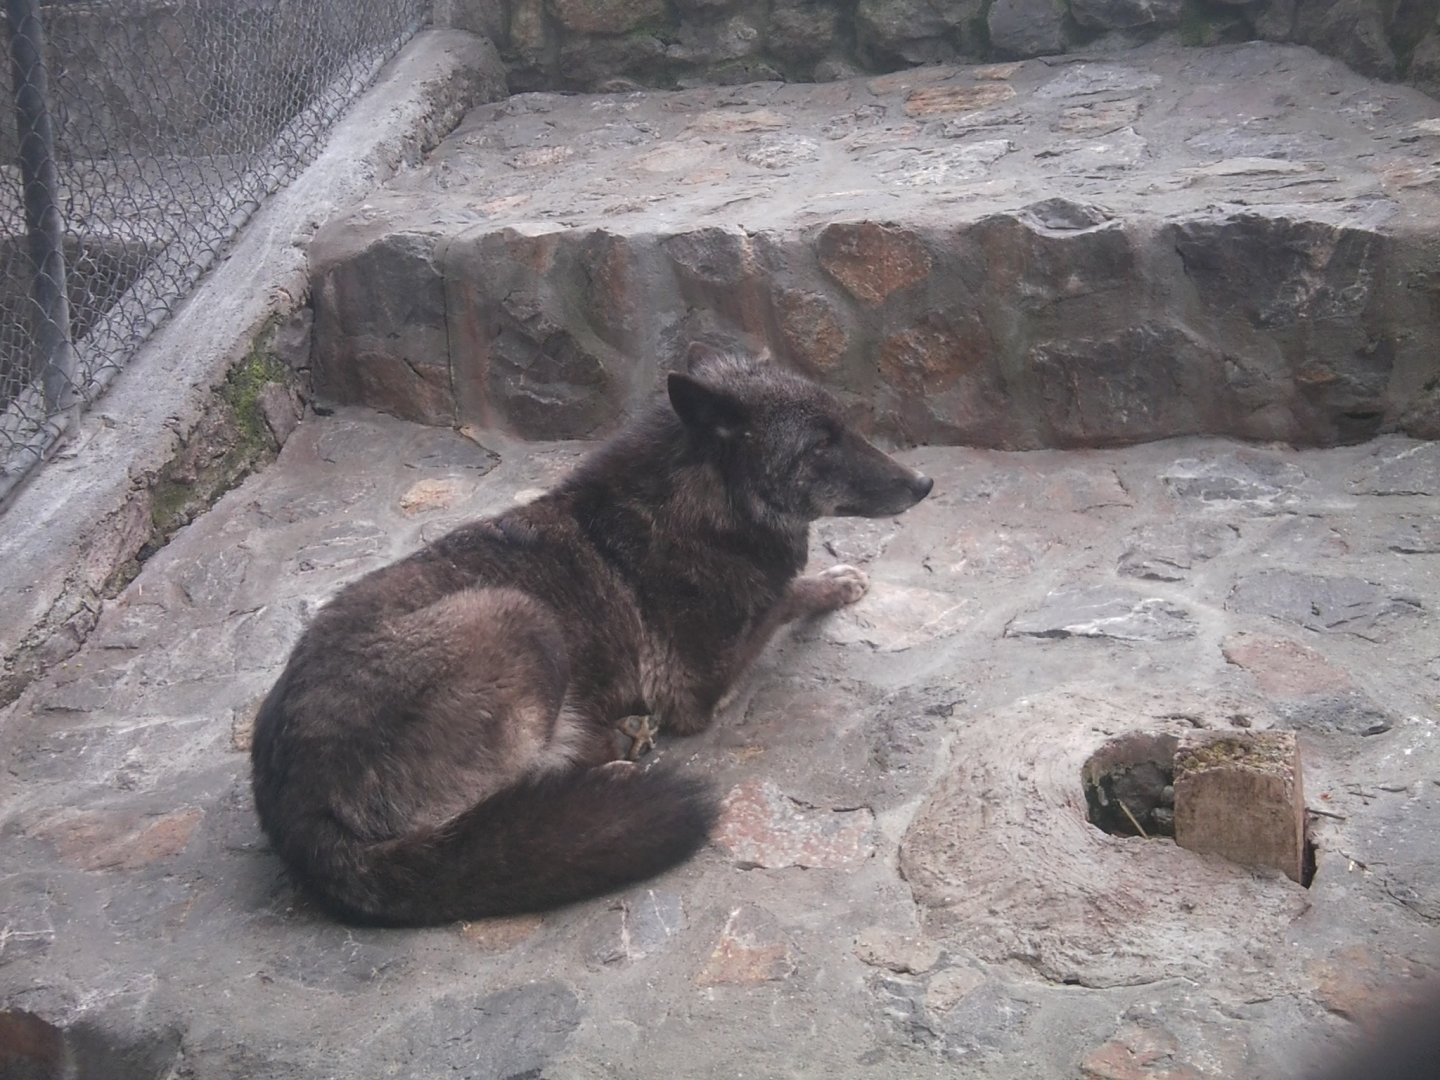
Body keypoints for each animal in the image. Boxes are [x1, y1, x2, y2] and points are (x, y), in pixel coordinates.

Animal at [250, 347, 933, 925]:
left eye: (845, 427)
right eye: (821, 444)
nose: (925, 485)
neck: (702, 504)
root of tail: (301, 819)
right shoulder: (696, 685)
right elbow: (782, 599)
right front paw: (833, 583)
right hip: (515, 615)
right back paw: (613, 766)